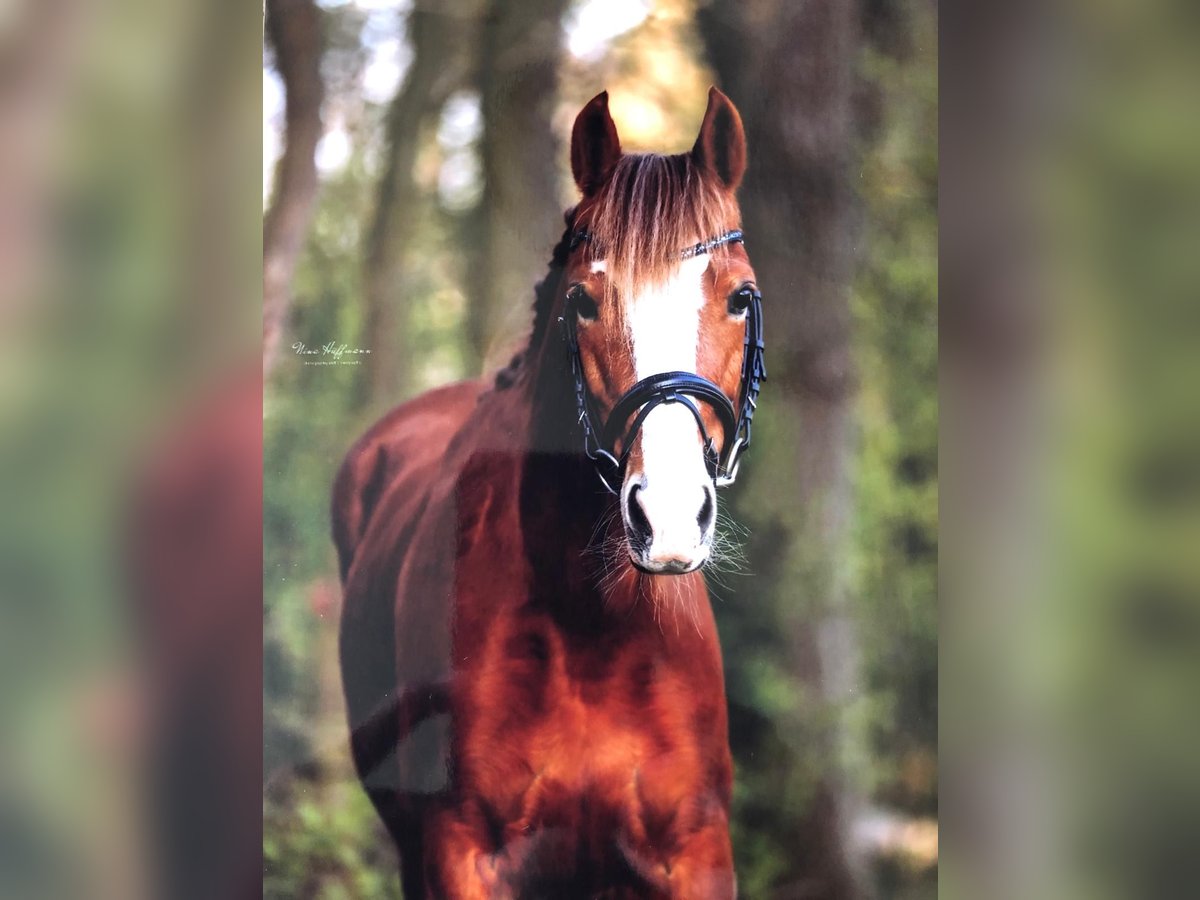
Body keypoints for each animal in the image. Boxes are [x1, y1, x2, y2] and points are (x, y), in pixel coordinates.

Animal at [334, 87, 766, 899]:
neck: (589, 624)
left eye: (740, 299)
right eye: (585, 302)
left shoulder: (695, 852)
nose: (667, 518)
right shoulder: (460, 853)